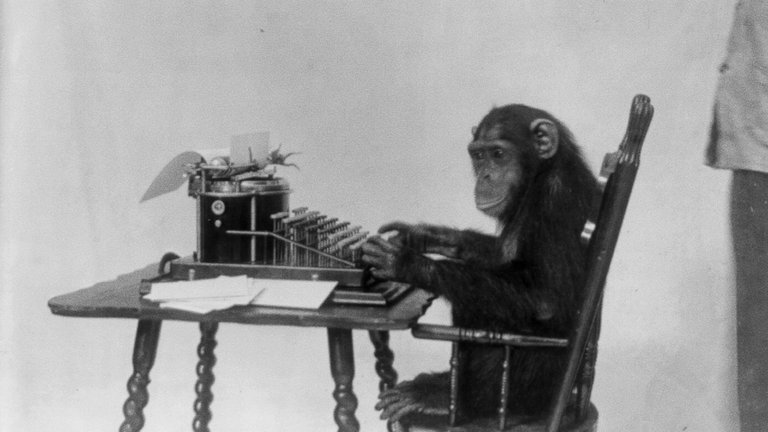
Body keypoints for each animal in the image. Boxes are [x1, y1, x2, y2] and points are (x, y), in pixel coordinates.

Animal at [360, 104, 600, 426]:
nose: (485, 175)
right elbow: (500, 256)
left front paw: (405, 262)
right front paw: (419, 235)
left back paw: (445, 399)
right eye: (479, 155)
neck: (539, 176)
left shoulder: (557, 203)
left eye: (498, 154)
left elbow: (545, 300)